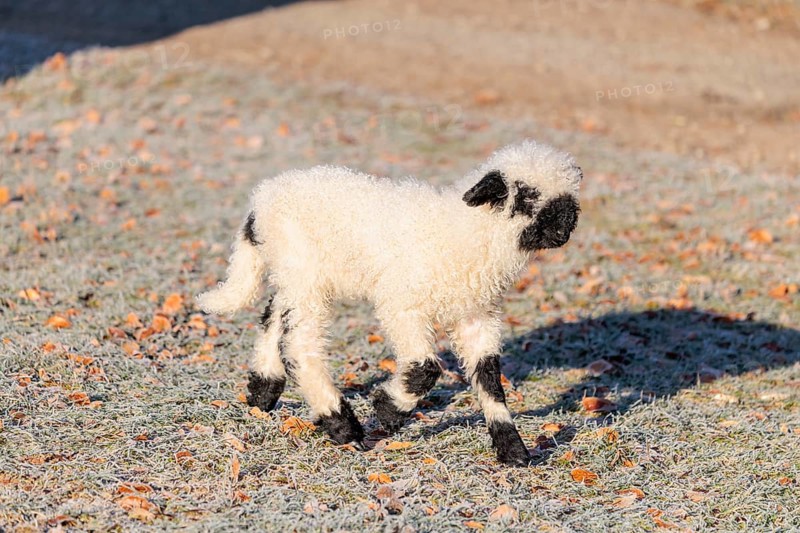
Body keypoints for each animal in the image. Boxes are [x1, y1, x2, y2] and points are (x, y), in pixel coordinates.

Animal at [198, 140, 582, 465]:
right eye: (527, 195)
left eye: (570, 191)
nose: (565, 227)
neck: (464, 232)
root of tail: (261, 200)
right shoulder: (402, 304)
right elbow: (426, 369)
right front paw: (387, 410)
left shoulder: (476, 316)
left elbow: (488, 377)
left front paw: (513, 450)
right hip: (304, 271)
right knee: (299, 346)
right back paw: (342, 425)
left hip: (296, 275)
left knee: (273, 318)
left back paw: (262, 391)